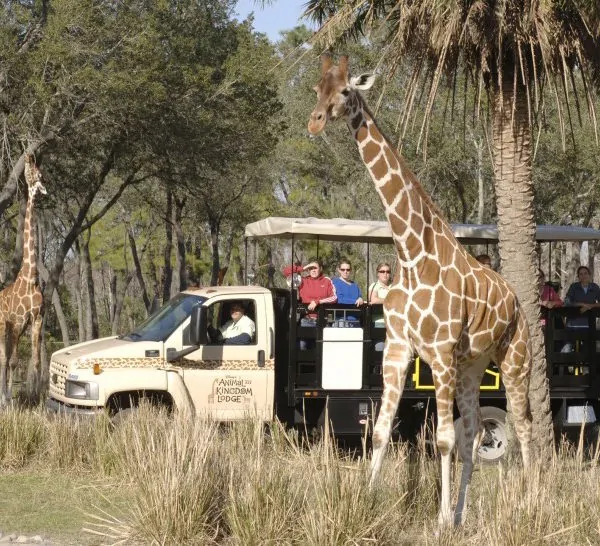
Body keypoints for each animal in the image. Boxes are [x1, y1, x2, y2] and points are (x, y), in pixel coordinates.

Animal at [308, 55, 532, 524]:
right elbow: (379, 432)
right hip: (472, 367)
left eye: (345, 91)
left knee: (523, 426)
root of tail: (516, 299)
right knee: (474, 433)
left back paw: (532, 501)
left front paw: (441, 521)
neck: (412, 255)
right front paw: (367, 503)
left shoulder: (441, 352)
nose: (315, 122)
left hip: (515, 357)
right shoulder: (398, 349)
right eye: (317, 89)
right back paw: (464, 511)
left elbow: (443, 439)